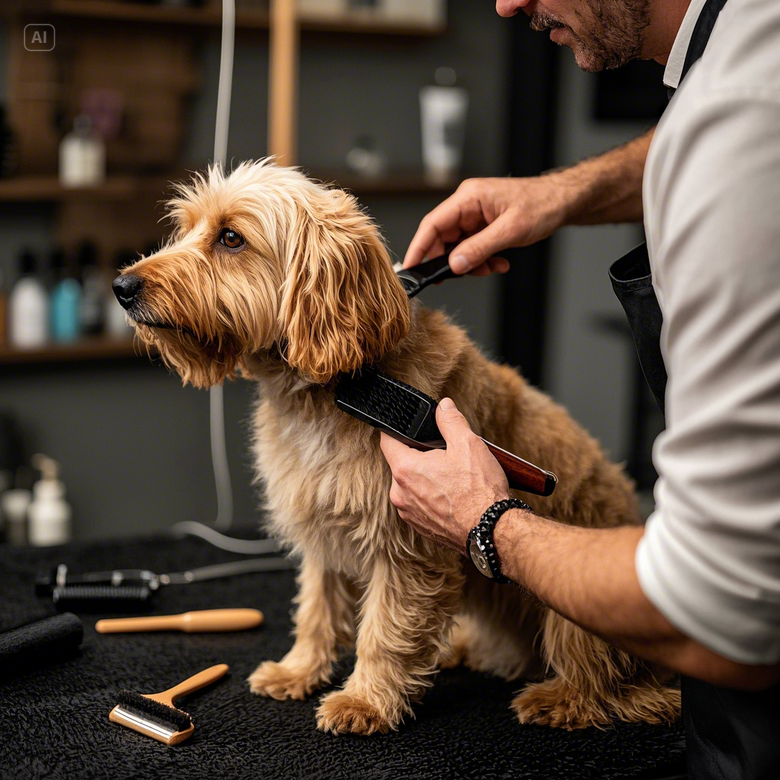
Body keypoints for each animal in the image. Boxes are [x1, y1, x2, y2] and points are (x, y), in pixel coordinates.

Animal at [112, 161, 680, 736]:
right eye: (186, 229)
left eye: (231, 238)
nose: (121, 285)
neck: (331, 390)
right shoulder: (322, 530)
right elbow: (317, 610)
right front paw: (299, 671)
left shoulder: (406, 548)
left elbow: (385, 631)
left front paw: (364, 701)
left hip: (580, 604)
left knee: (614, 689)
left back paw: (560, 698)